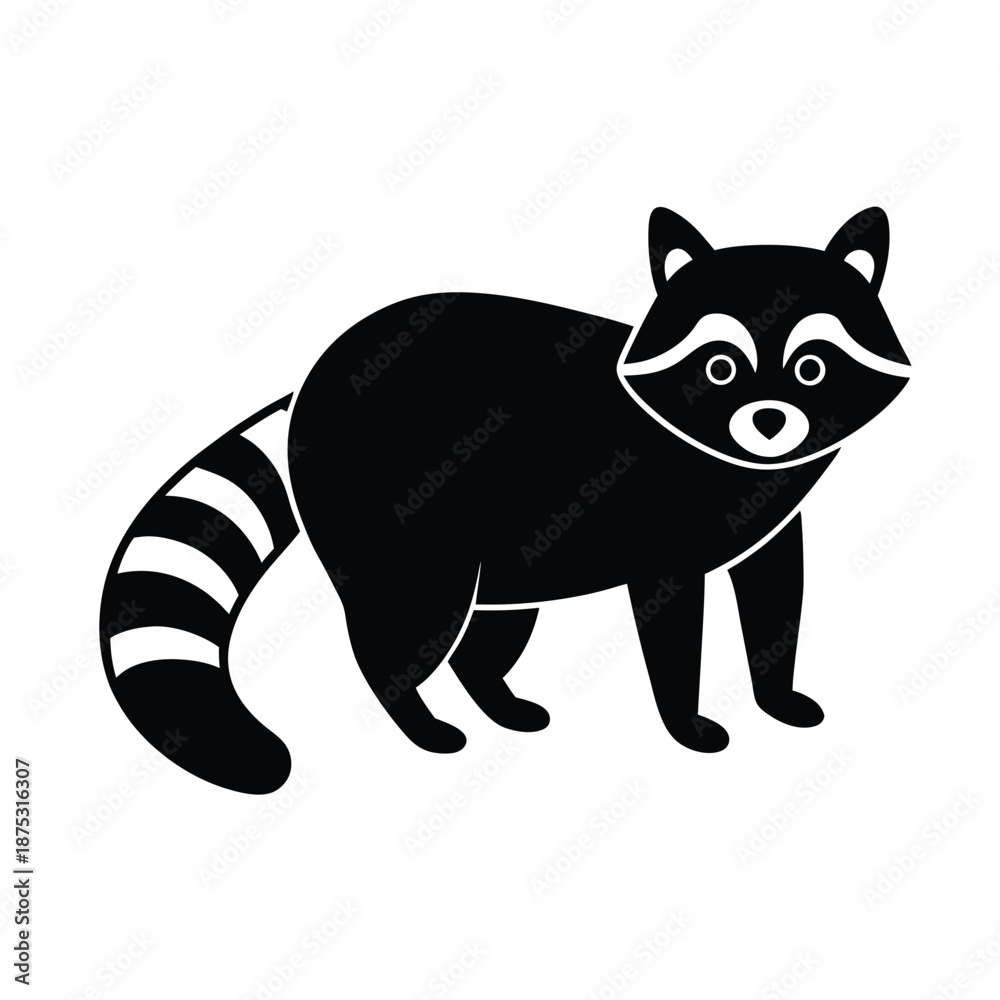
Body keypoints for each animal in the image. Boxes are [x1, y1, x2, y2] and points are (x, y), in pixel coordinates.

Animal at [100, 207, 910, 793]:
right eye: (719, 367)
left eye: (812, 367)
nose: (770, 421)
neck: (734, 462)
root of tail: (312, 380)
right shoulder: (658, 518)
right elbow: (672, 619)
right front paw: (688, 719)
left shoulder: (772, 519)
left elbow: (774, 592)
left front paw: (777, 692)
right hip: (398, 518)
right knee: (405, 626)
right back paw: (417, 718)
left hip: (515, 550)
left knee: (491, 629)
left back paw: (493, 694)